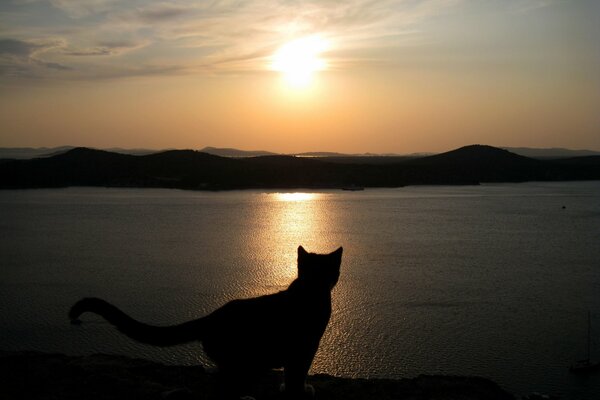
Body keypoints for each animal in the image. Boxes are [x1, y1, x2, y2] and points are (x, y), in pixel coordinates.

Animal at [68, 245, 342, 398]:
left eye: (328, 271)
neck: (310, 290)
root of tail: (209, 317)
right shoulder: (305, 347)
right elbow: (297, 374)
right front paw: (299, 391)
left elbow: (291, 375)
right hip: (242, 364)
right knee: (223, 390)